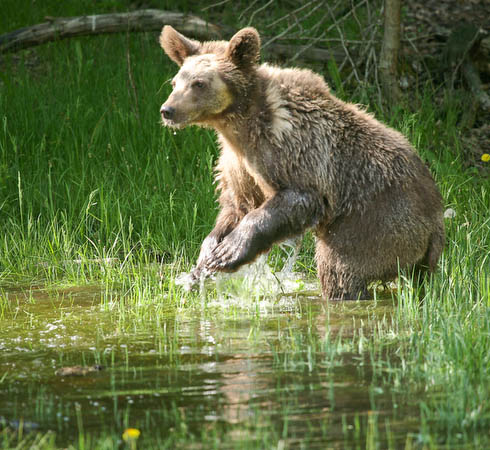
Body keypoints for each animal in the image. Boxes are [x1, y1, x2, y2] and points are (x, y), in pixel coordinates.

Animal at [160, 24, 444, 298]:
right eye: (175, 82)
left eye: (199, 83)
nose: (167, 110)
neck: (240, 125)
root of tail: (436, 221)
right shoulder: (236, 161)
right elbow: (237, 203)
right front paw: (206, 257)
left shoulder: (294, 149)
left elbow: (297, 198)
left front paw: (229, 252)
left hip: (375, 221)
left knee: (341, 268)